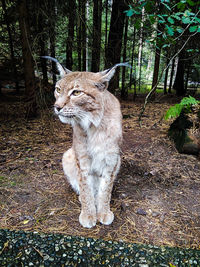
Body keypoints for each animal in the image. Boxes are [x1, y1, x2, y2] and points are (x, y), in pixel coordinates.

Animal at [44, 57, 129, 228]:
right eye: (58, 89)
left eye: (76, 93)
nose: (57, 107)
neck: (94, 125)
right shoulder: (81, 157)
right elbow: (84, 186)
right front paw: (89, 214)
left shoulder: (111, 158)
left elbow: (106, 187)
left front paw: (103, 211)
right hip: (68, 154)